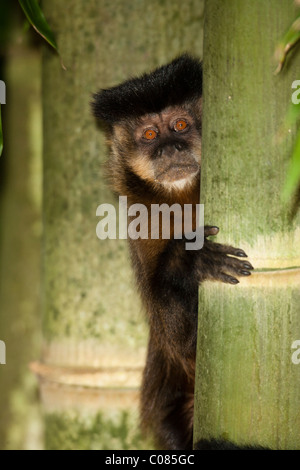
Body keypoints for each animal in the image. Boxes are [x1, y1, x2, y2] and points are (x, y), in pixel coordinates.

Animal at [92, 53, 255, 450]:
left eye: (180, 125)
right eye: (151, 134)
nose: (170, 148)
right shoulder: (143, 224)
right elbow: (180, 343)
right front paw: (188, 261)